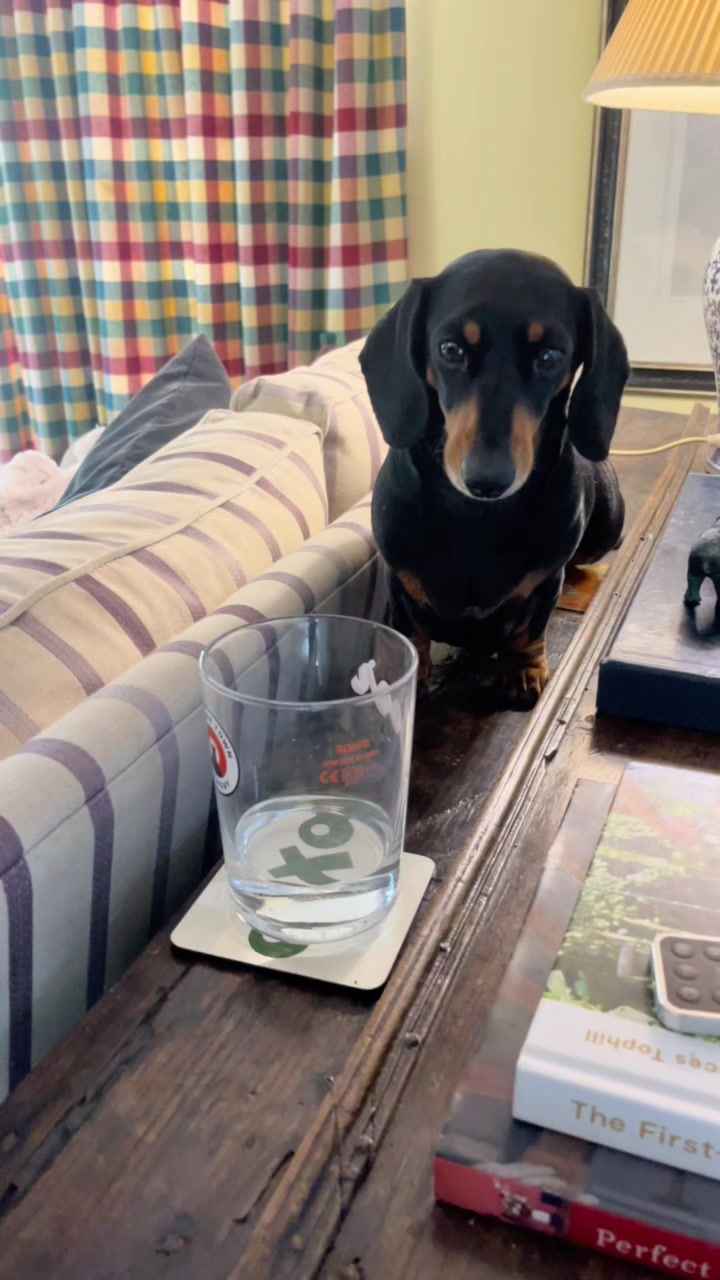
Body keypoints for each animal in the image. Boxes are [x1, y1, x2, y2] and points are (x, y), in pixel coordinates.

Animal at [359, 249, 629, 707]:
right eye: (451, 349)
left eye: (550, 356)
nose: (487, 480)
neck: (476, 518)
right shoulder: (400, 581)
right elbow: (411, 631)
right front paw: (413, 676)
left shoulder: (544, 583)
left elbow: (530, 628)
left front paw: (523, 668)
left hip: (608, 528)